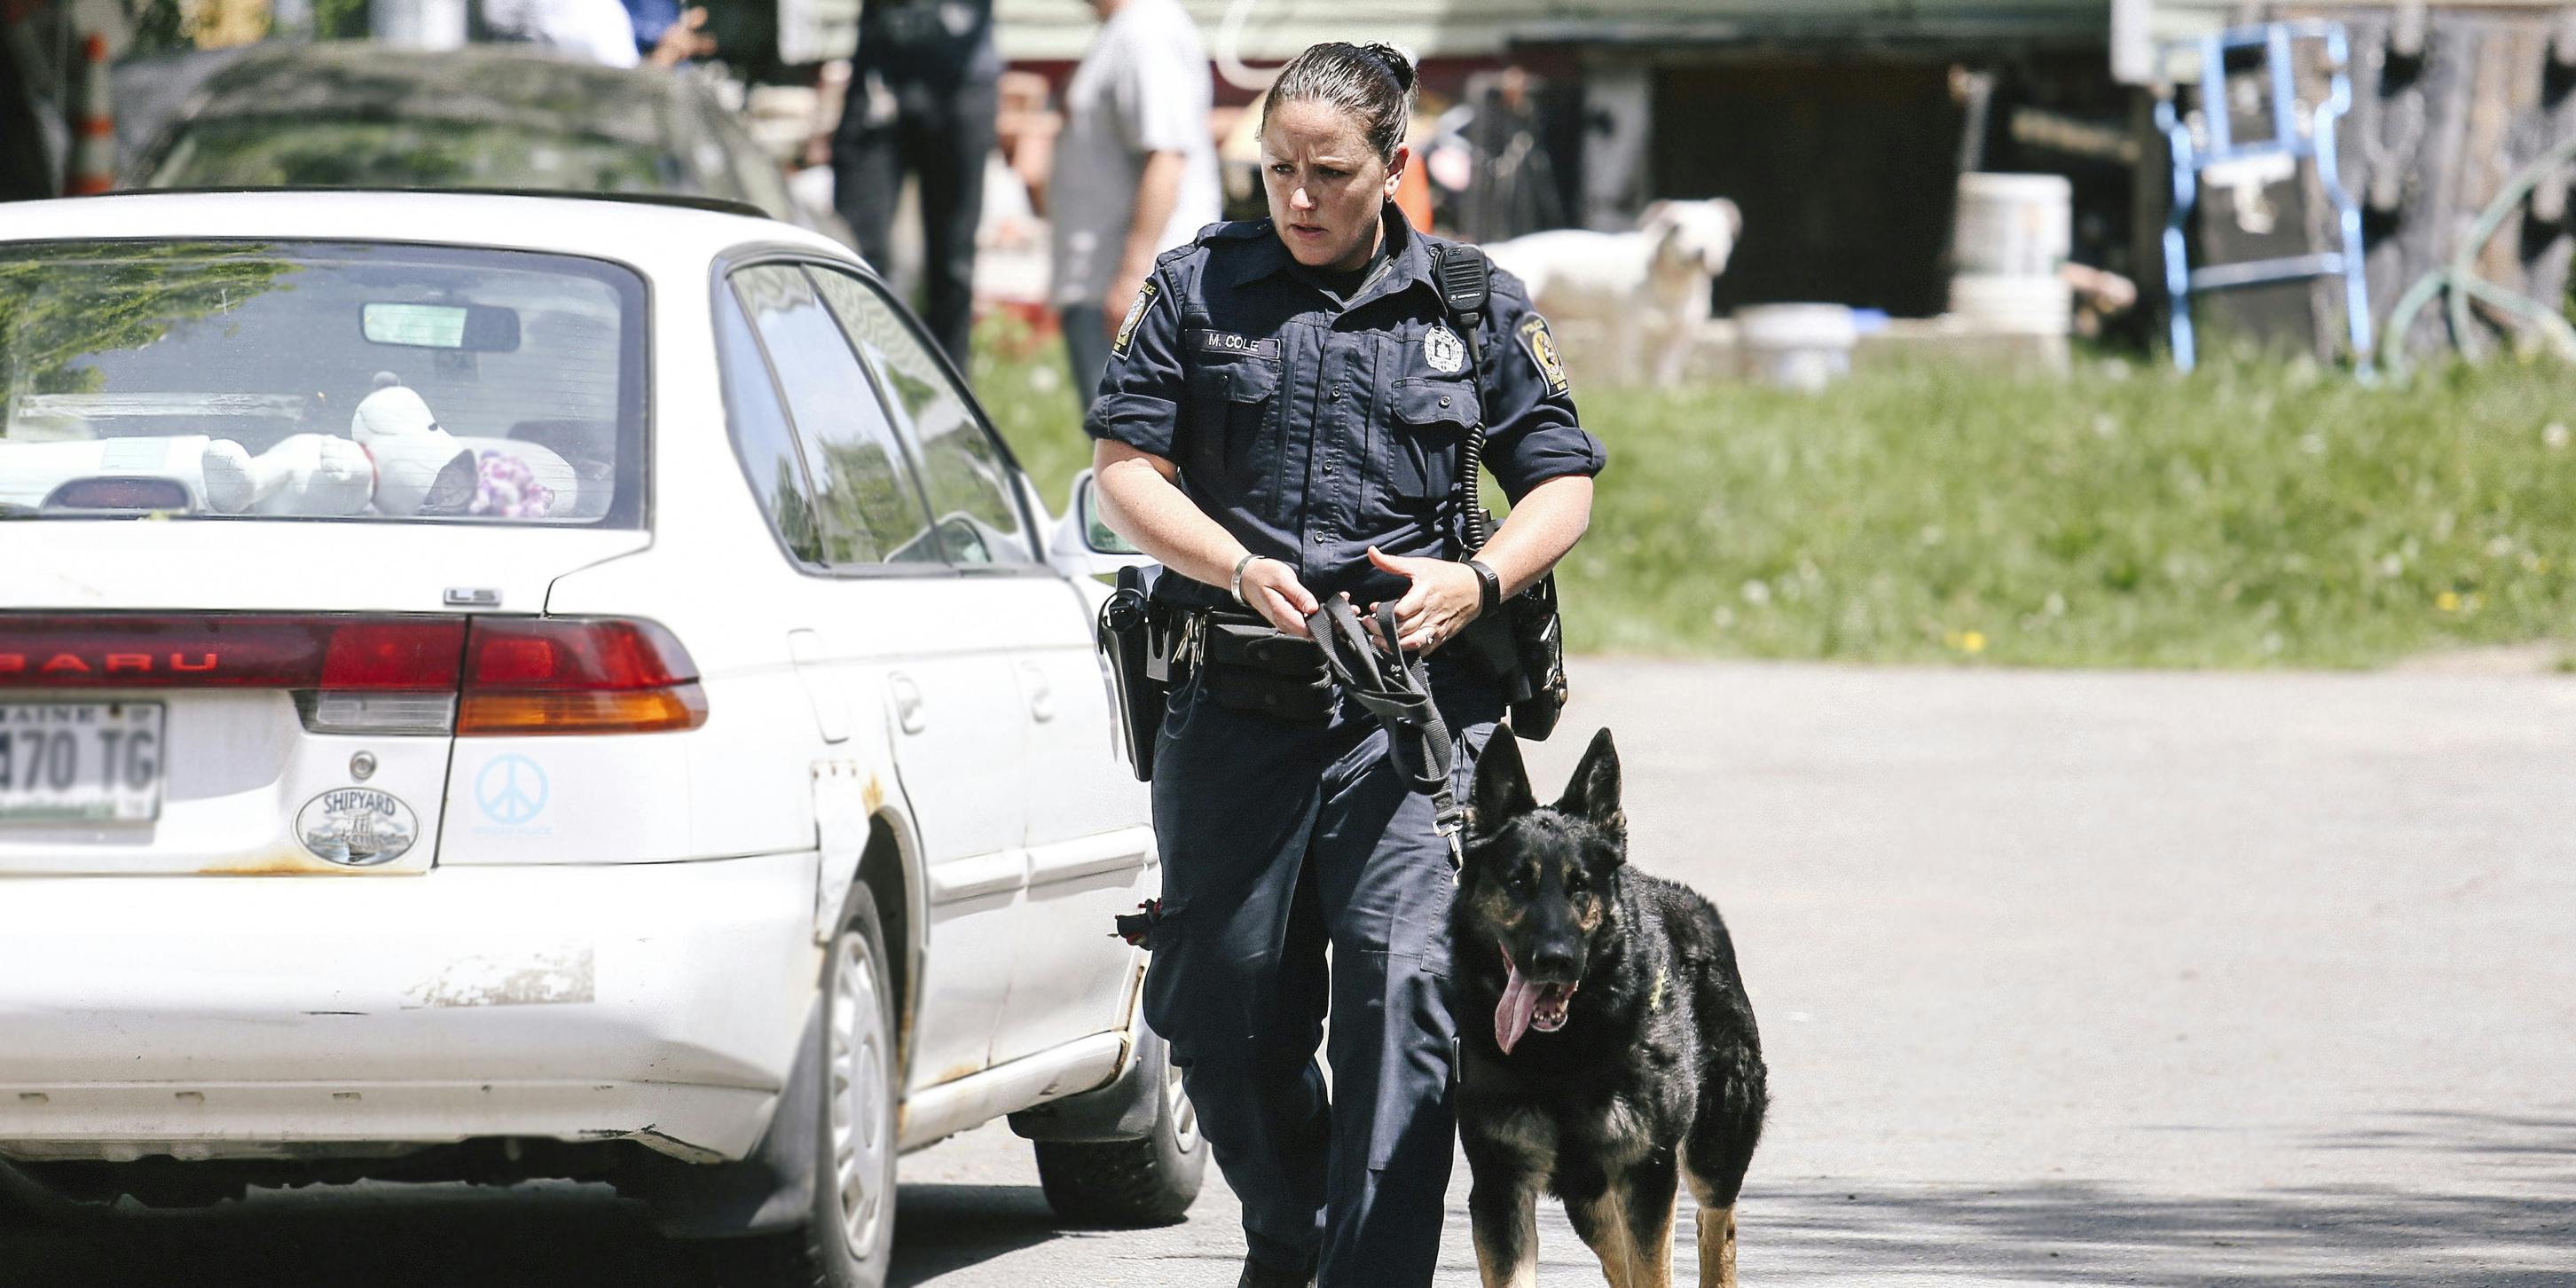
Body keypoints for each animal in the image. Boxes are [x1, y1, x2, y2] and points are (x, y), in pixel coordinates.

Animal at [1452, 731, 1771, 1283]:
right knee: (1618, 1258)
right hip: (1589, 1198)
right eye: (1517, 882)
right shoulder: (1500, 1185)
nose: (1555, 960)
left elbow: (1655, 1269)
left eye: (1579, 885)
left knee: (1716, 1223)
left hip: (1714, 1147)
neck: (1559, 1055)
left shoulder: (1647, 1173)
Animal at [1483, 195, 1741, 386]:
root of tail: (1502, 248)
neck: (1674, 283)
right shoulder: (1627, 324)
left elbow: (1668, 366)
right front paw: (1626, 387)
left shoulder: (1684, 330)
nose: (1701, 251)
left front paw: (1666, 390)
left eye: (1719, 230)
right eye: (1675, 227)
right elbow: (1625, 360)